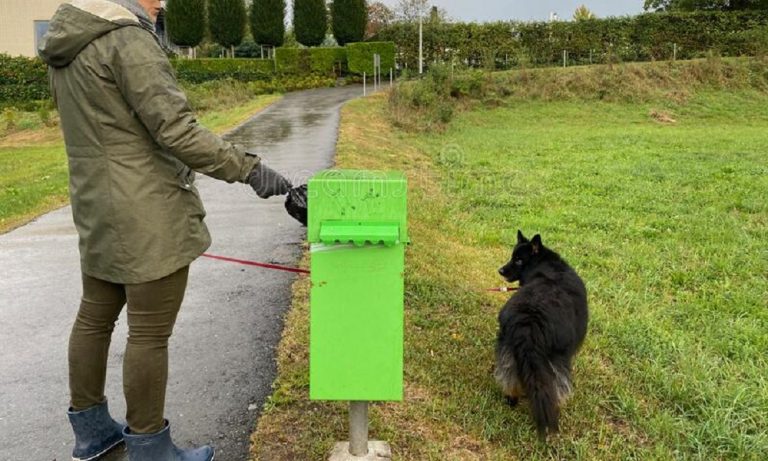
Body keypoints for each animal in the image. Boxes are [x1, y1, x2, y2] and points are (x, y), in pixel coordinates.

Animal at [492, 230, 588, 438]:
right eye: (514, 258)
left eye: (519, 260)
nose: (500, 271)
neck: (544, 262)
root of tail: (530, 321)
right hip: (557, 358)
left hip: (508, 347)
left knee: (509, 376)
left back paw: (511, 398)